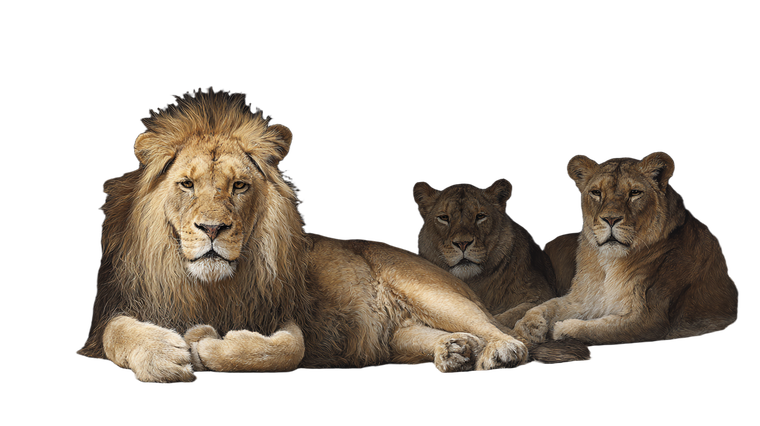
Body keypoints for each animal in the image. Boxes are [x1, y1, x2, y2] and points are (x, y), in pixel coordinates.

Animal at [76, 89, 533, 383]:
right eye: (186, 185)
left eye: (239, 186)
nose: (212, 229)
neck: (210, 287)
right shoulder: (117, 306)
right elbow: (116, 333)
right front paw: (162, 358)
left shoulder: (284, 318)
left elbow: (281, 350)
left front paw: (204, 344)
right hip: (398, 338)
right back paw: (455, 350)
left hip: (429, 291)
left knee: (496, 326)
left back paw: (499, 350)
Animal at [514, 152, 739, 347]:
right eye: (596, 192)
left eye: (635, 193)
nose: (611, 219)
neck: (609, 263)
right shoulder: (583, 299)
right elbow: (549, 305)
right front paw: (528, 325)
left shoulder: (648, 318)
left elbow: (596, 329)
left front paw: (561, 329)